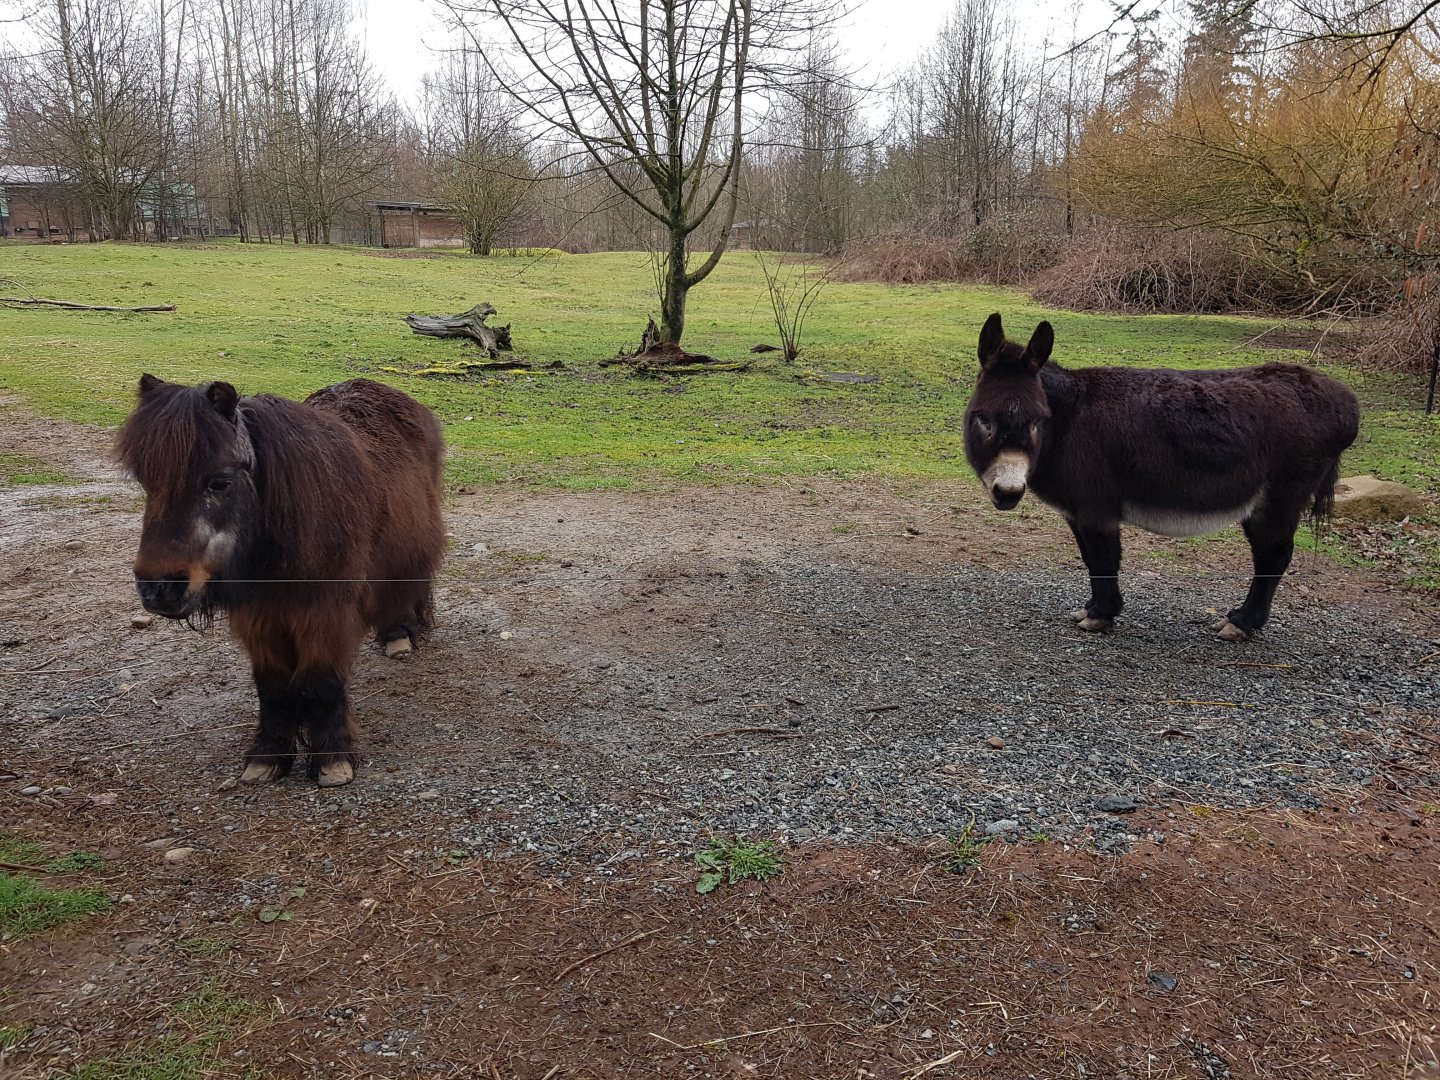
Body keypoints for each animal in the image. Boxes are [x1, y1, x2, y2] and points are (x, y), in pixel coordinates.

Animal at [116, 375, 447, 786]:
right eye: (146, 483)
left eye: (219, 483)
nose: (159, 589)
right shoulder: (260, 619)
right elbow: (271, 687)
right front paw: (268, 755)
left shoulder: (324, 614)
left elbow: (321, 682)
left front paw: (332, 758)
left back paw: (397, 635)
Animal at [962, 313, 1360, 641]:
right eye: (983, 419)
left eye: (1036, 421)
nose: (1008, 493)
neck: (1068, 419)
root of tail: (1345, 400)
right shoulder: (1076, 510)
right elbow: (1090, 558)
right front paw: (1091, 609)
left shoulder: (1096, 507)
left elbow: (1104, 558)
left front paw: (1101, 615)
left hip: (1282, 495)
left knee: (1273, 557)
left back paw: (1241, 623)